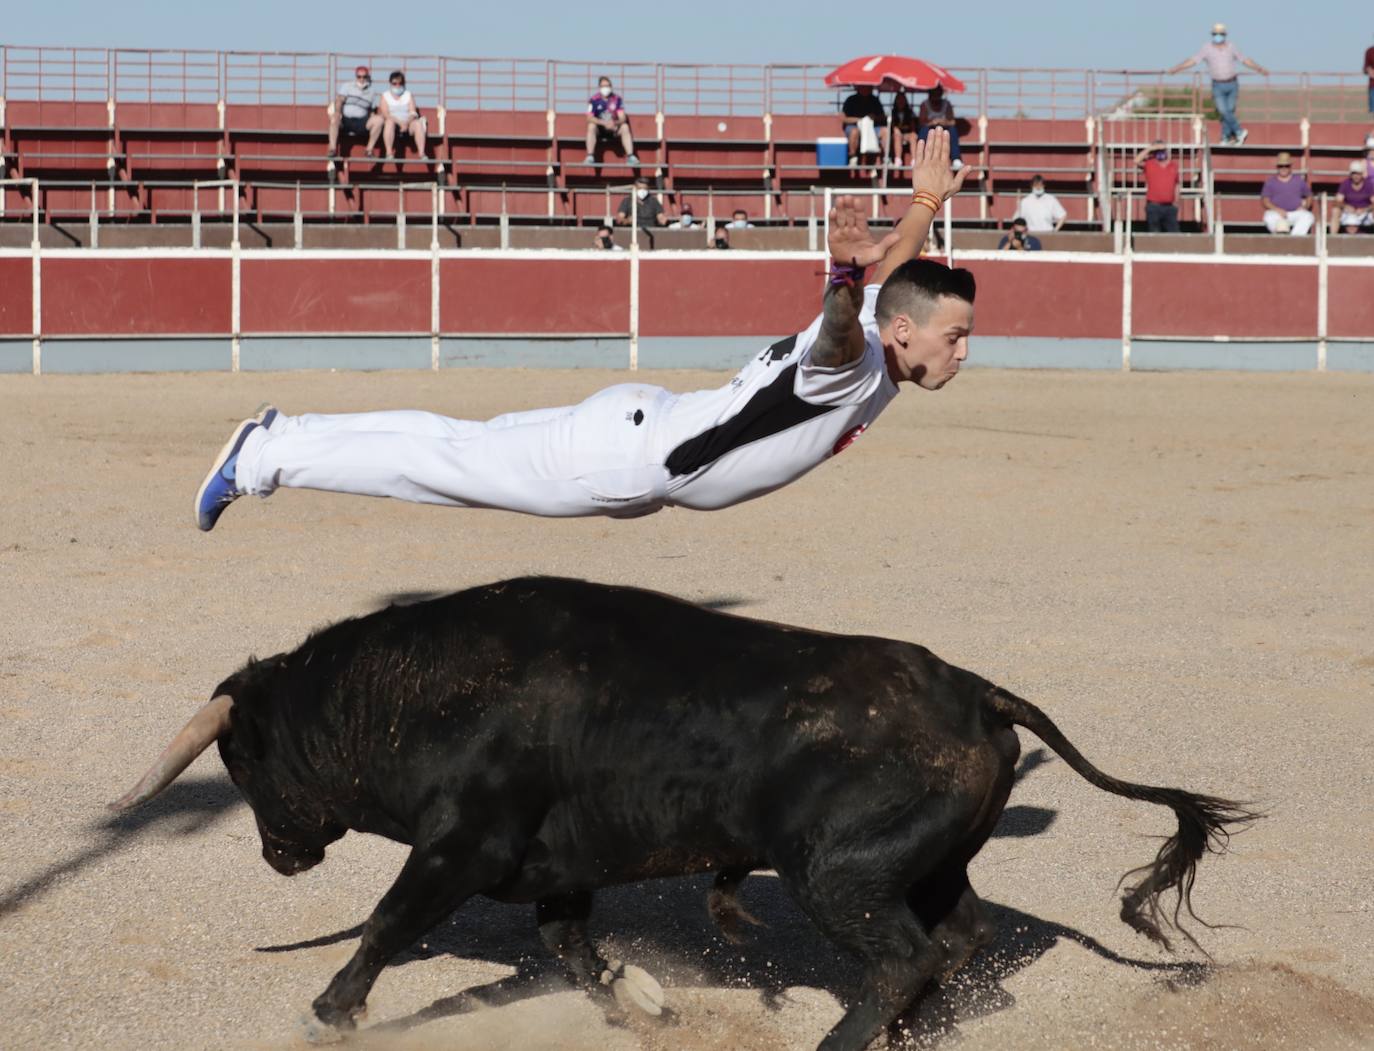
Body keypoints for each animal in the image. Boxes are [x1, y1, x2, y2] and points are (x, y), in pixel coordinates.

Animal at [112, 577, 1258, 1044]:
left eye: (241, 757)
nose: (279, 856)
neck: (418, 692)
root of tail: (977, 690)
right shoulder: (556, 868)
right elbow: (572, 948)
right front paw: (640, 1005)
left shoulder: (464, 843)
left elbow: (393, 922)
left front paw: (332, 1009)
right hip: (923, 863)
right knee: (958, 937)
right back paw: (910, 1032)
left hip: (835, 874)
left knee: (905, 955)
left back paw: (843, 1040)